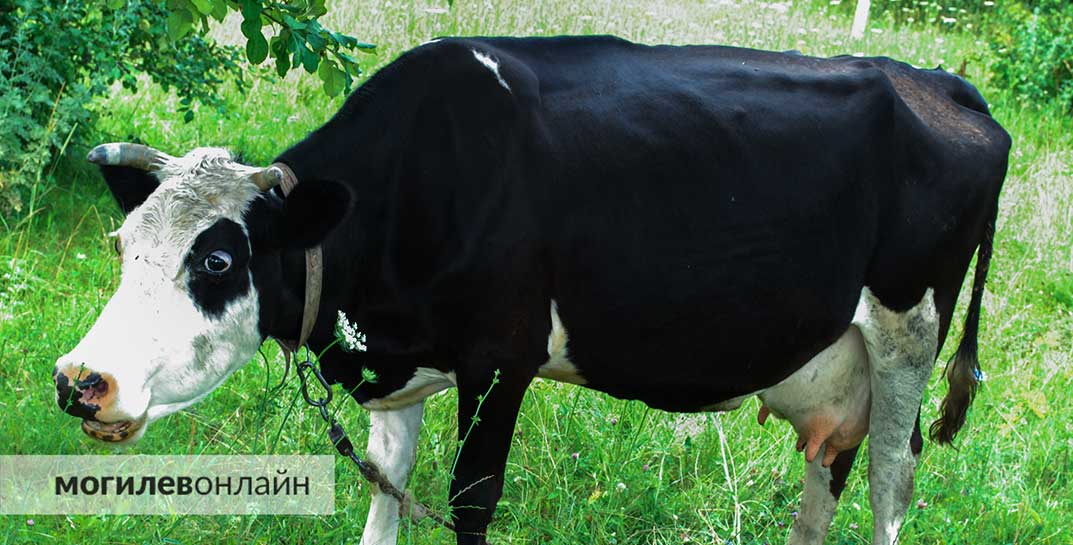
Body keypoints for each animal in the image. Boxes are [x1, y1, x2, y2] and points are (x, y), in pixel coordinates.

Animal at [53, 36, 1010, 545]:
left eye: (216, 262)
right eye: (122, 245)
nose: (79, 379)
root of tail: (934, 81)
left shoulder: (500, 360)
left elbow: (470, 499)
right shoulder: (398, 371)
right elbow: (386, 485)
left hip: (906, 333)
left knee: (890, 479)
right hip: (838, 364)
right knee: (826, 479)